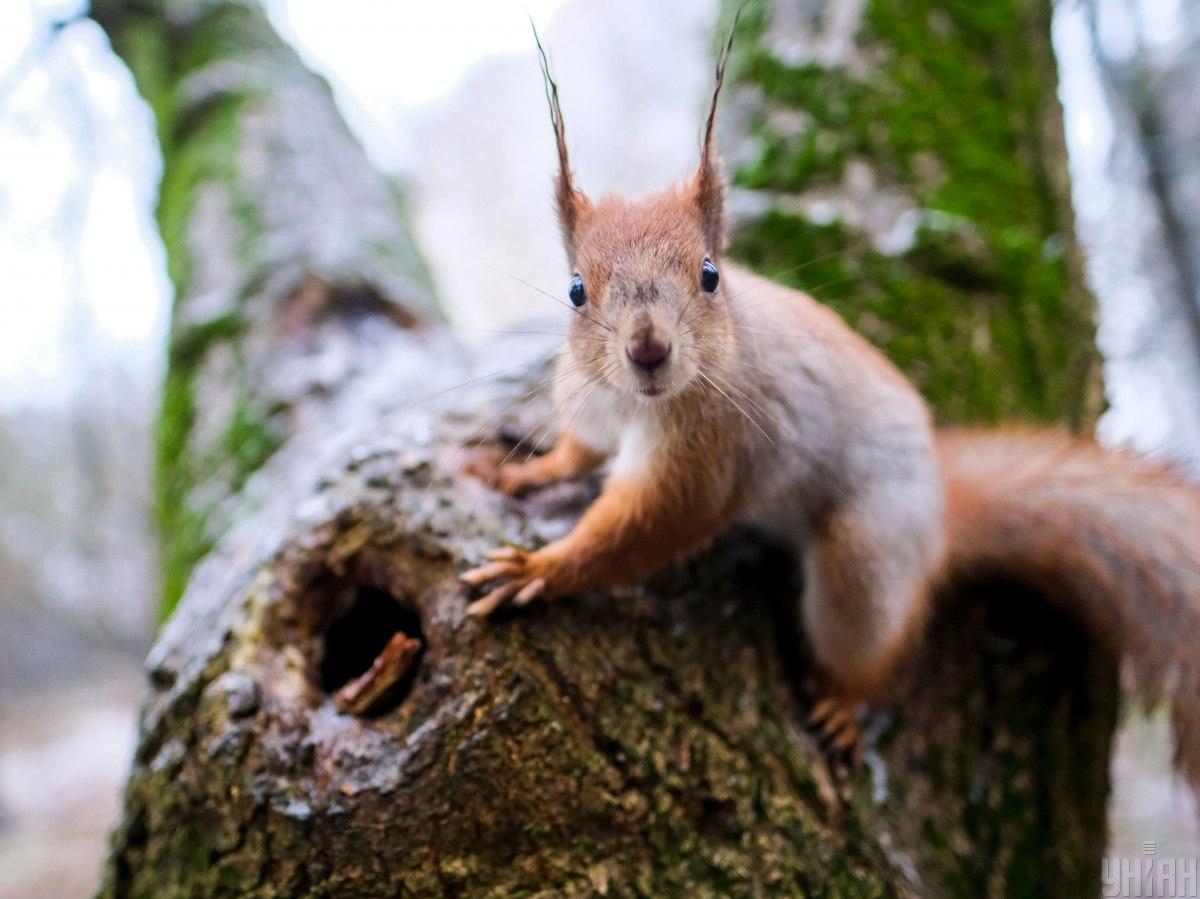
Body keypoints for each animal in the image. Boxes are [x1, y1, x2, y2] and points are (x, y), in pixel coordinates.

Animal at [458, 19, 1200, 777]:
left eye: (710, 275)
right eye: (576, 289)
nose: (648, 350)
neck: (640, 402)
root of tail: (941, 509)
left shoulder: (710, 454)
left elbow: (646, 526)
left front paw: (541, 569)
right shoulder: (592, 407)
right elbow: (577, 454)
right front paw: (521, 471)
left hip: (865, 556)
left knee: (868, 642)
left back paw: (844, 703)